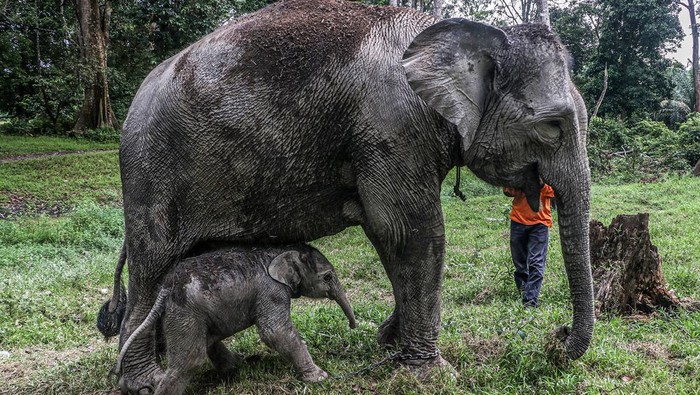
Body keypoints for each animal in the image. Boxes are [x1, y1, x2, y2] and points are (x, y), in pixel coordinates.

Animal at [117, 244, 356, 395]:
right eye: (328, 277)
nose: (353, 326)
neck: (281, 250)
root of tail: (166, 287)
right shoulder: (272, 291)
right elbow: (274, 332)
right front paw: (320, 377)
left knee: (208, 341)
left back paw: (236, 366)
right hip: (185, 311)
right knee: (191, 359)